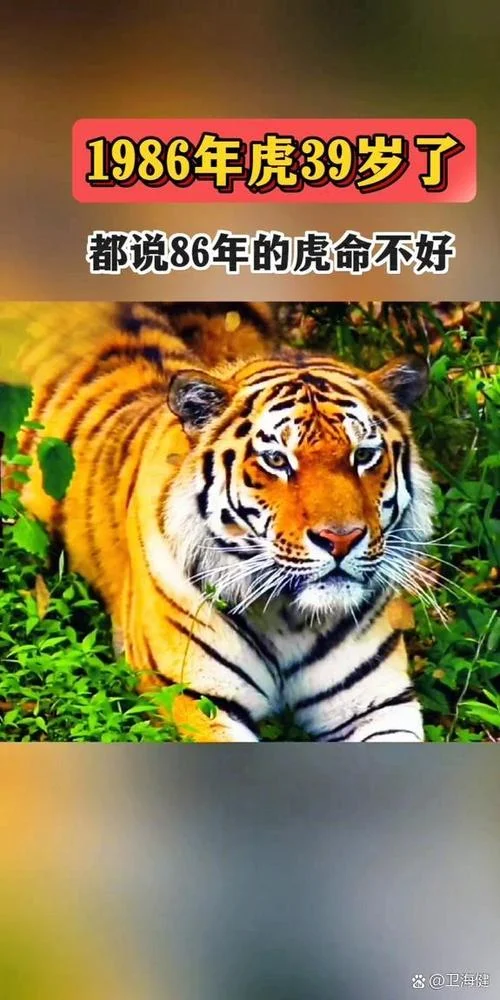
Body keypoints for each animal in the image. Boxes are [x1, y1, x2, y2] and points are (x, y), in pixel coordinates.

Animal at [12, 301, 434, 742]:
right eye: (276, 460)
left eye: (364, 455)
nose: (341, 539)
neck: (292, 620)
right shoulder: (193, 695)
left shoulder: (379, 705)